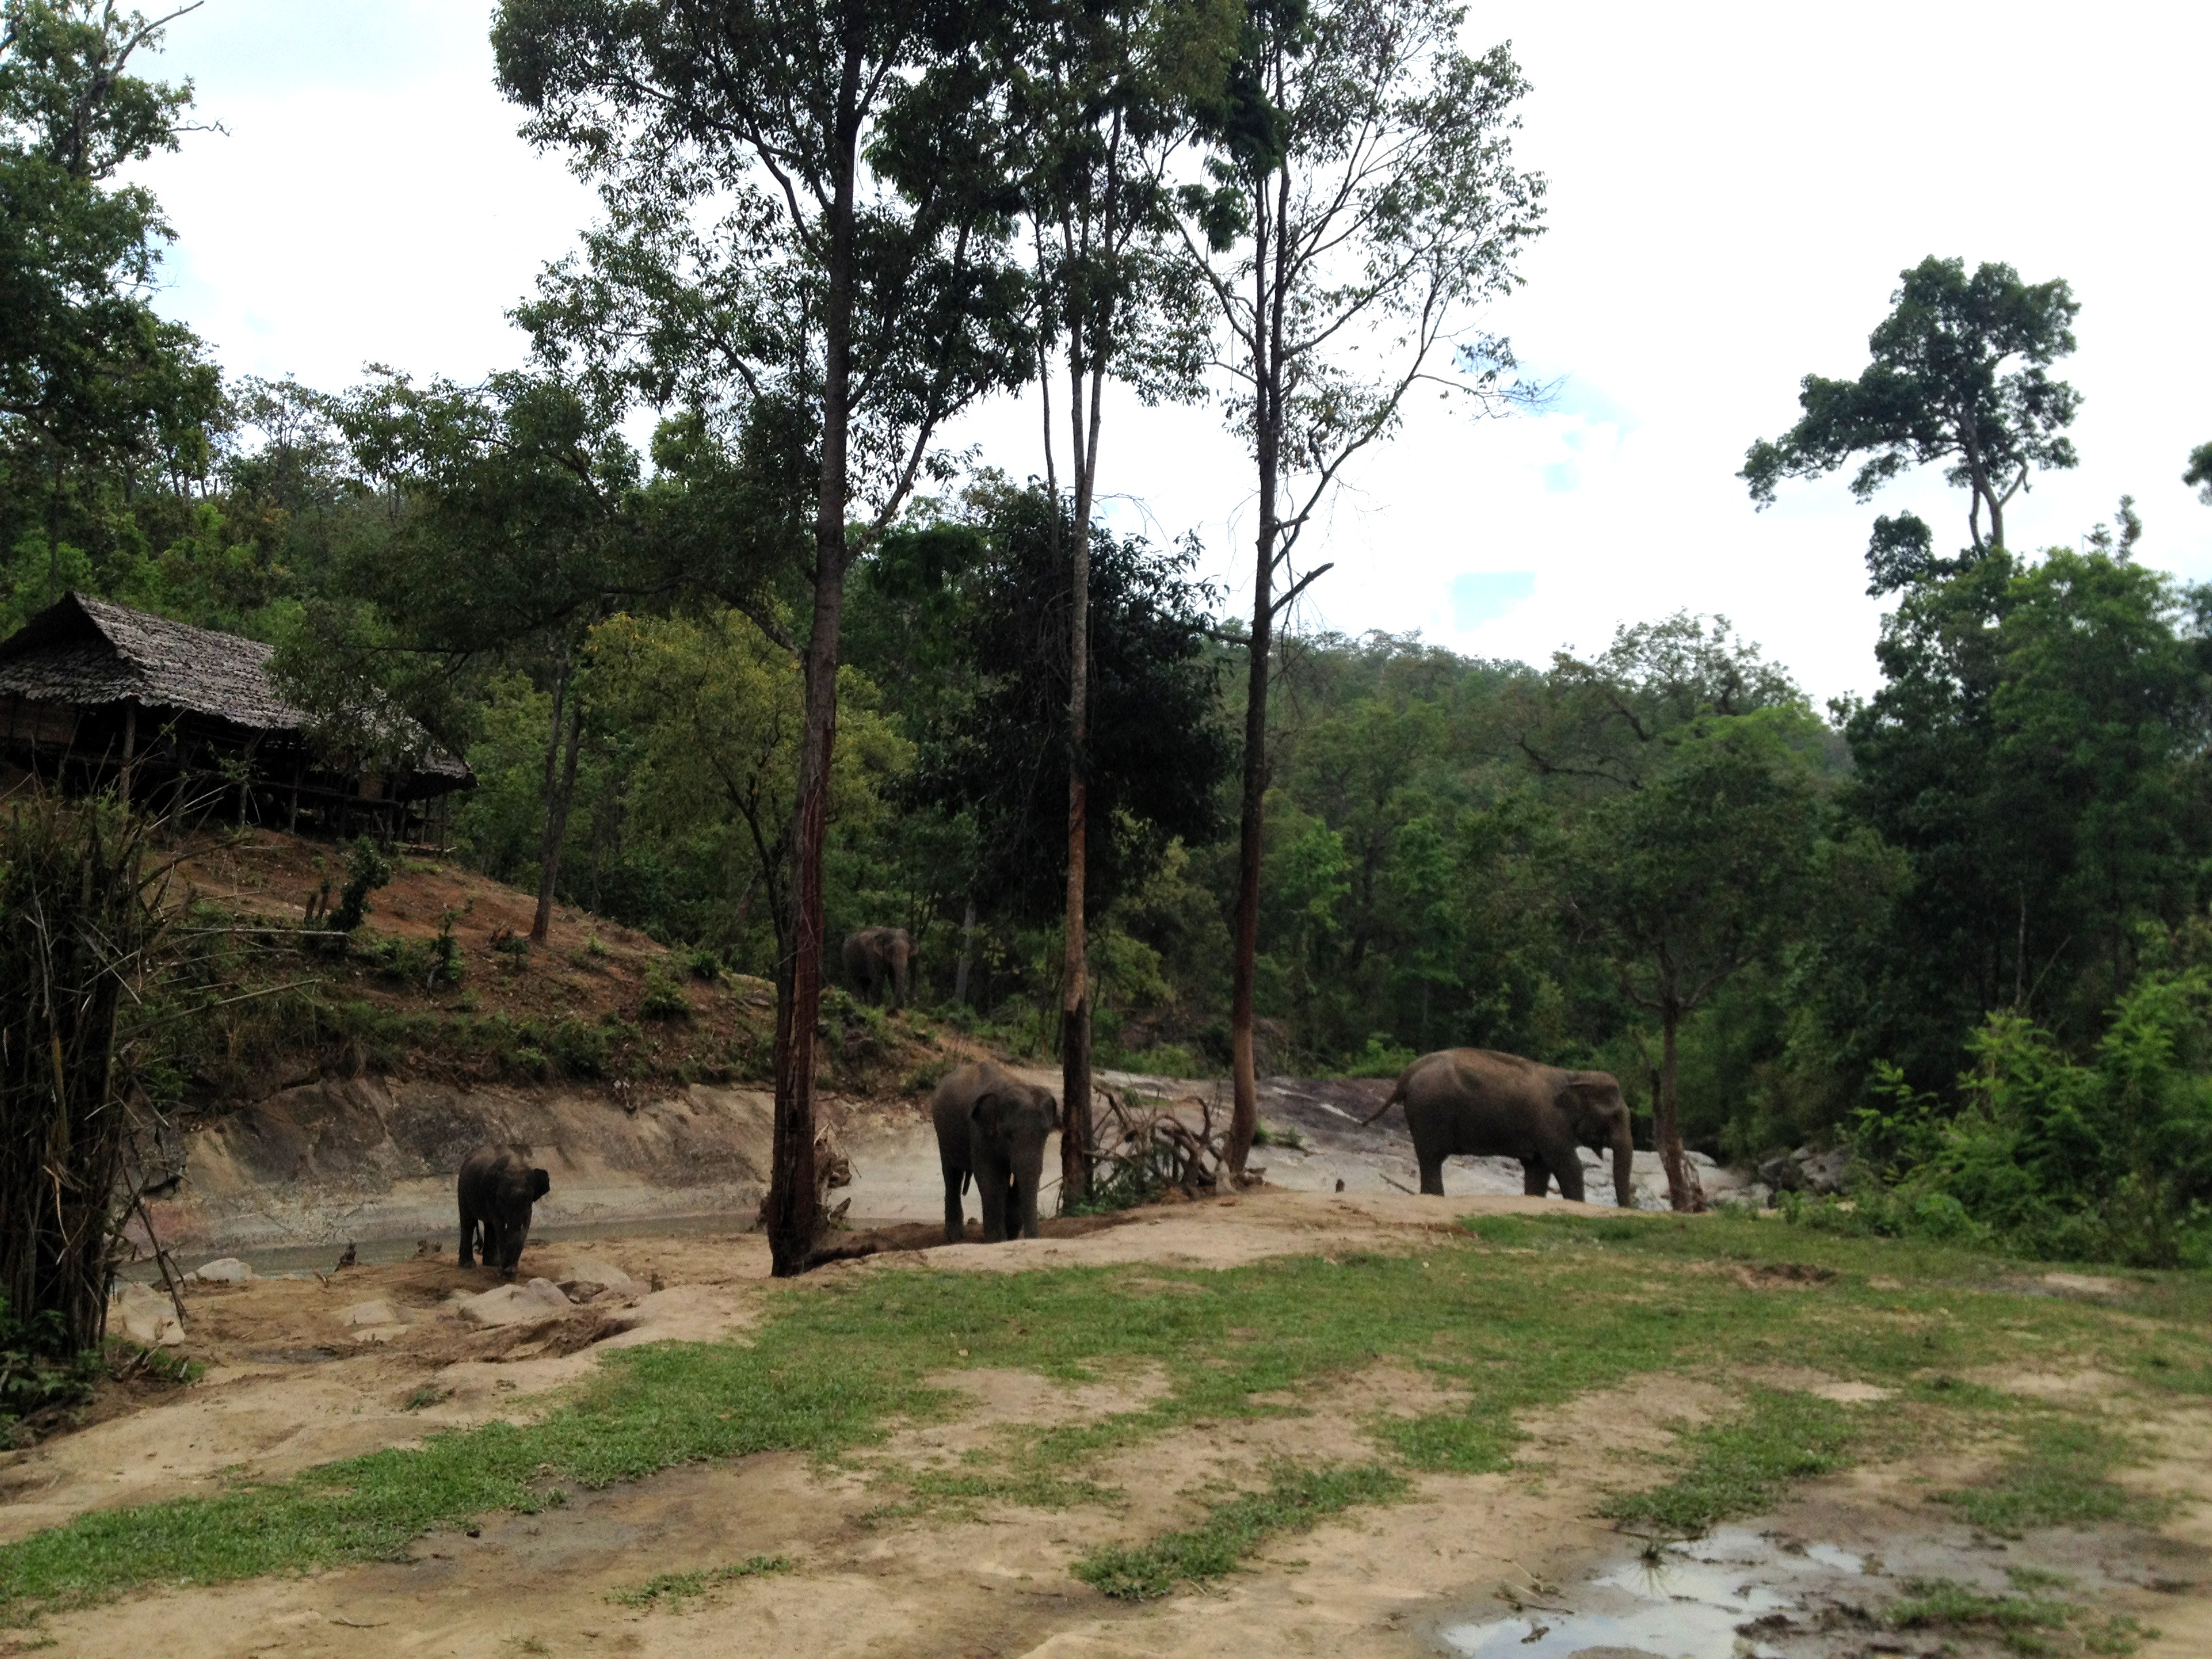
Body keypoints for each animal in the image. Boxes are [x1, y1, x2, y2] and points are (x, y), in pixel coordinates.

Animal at [457, 1143, 551, 1279]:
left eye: (529, 1198)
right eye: (501, 1198)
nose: (508, 1269)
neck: (514, 1164)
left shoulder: (528, 1207)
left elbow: (524, 1227)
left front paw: (510, 1271)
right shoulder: (491, 1197)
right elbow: (500, 1225)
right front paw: (505, 1274)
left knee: (489, 1225)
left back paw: (492, 1263)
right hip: (463, 1187)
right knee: (468, 1222)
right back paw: (468, 1265)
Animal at [931, 1061, 1060, 1243]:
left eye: (1046, 1134)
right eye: (1009, 1135)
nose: (1033, 1238)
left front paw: (1011, 1236)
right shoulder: (979, 1132)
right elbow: (991, 1178)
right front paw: (997, 1240)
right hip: (943, 1130)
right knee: (952, 1174)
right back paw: (954, 1237)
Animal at [1361, 1048, 1635, 1207]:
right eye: (1615, 1116)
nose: (1625, 1207)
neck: (1573, 1075)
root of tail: (1408, 1072)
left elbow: (1538, 1169)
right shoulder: (1550, 1122)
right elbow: (1569, 1166)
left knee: (1429, 1159)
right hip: (1430, 1111)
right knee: (1432, 1158)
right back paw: (1436, 1198)